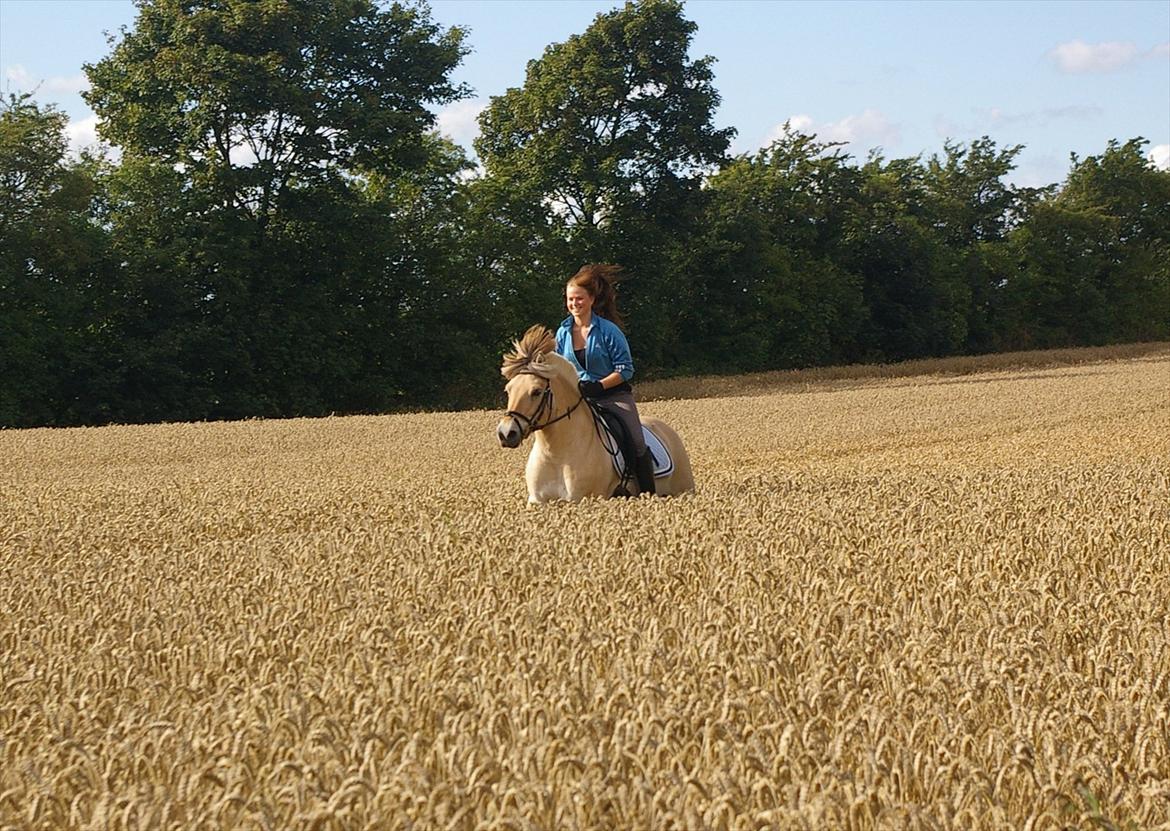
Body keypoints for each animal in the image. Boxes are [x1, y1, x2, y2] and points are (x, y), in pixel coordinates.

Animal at [496, 327, 692, 505]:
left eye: (536, 391)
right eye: (508, 390)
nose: (506, 433)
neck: (556, 453)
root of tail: (666, 429)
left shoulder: (584, 499)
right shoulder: (537, 501)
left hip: (682, 489)